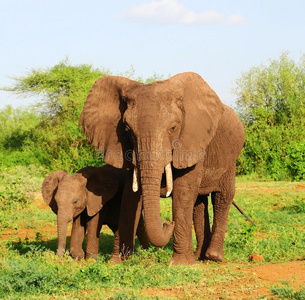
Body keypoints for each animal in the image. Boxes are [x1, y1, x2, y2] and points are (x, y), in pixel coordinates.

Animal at [79, 72, 245, 264]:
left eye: (173, 128)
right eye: (127, 130)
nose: (167, 223)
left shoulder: (194, 142)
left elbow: (183, 192)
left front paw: (181, 264)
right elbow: (130, 194)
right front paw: (117, 262)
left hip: (231, 158)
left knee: (222, 197)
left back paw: (214, 257)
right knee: (199, 202)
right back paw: (199, 257)